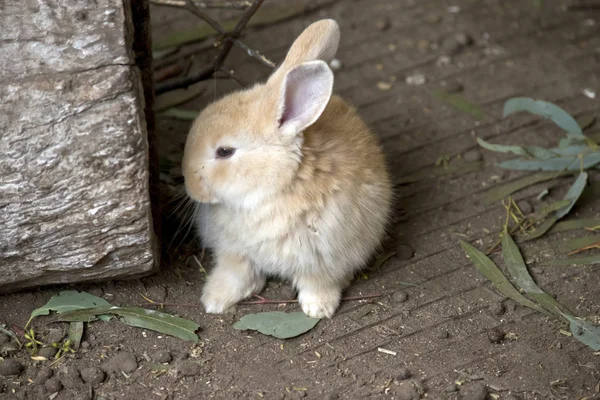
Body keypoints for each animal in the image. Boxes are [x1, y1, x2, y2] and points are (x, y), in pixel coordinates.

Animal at [182, 19, 394, 318]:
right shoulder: (234, 252)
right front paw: (214, 300)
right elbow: (236, 273)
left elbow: (317, 282)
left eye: (225, 151)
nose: (188, 183)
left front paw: (319, 308)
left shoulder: (326, 257)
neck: (273, 188)